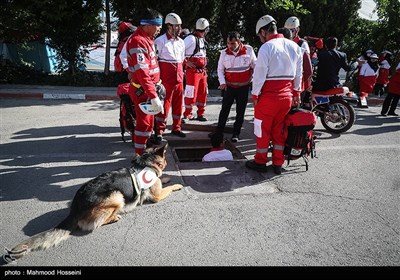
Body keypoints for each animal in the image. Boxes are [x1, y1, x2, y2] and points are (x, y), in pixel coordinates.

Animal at [4, 144, 183, 262]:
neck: (145, 163)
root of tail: (75, 209)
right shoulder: (157, 196)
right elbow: (168, 188)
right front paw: (177, 184)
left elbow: (163, 180)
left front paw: (166, 177)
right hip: (116, 196)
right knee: (96, 223)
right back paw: (114, 217)